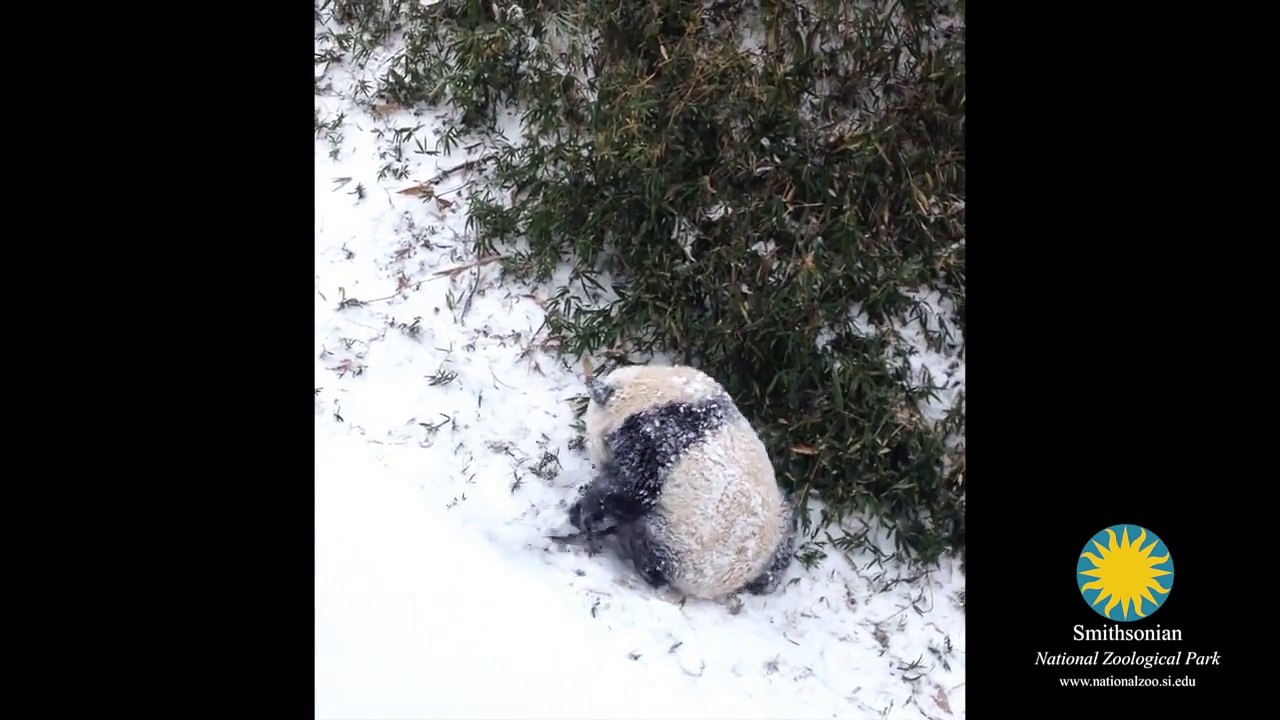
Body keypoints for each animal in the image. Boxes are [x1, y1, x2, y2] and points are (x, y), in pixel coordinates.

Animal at [565, 363, 797, 601]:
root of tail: (737, 578)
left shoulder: (654, 438)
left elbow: (632, 489)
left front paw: (583, 510)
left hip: (676, 544)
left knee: (646, 547)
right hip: (779, 522)